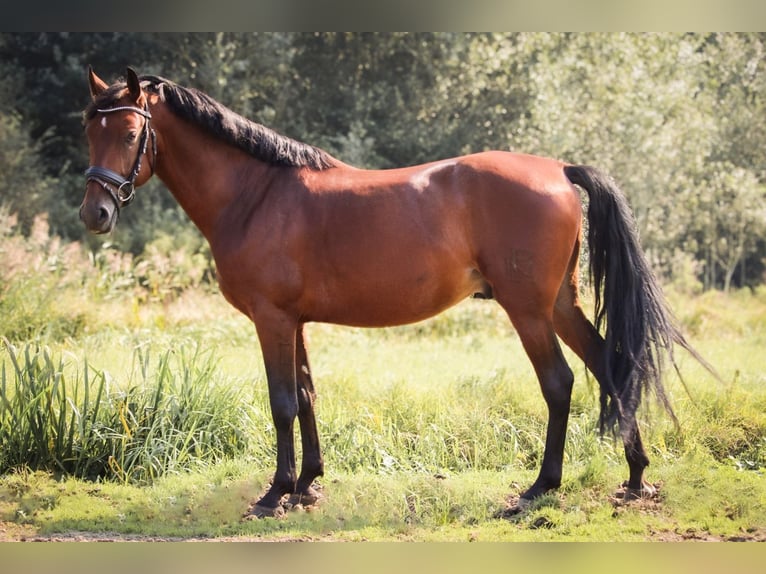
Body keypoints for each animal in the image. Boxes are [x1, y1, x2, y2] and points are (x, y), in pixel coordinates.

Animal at [81, 67, 712, 520]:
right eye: (89, 131)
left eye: (132, 134)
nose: (96, 213)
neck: (257, 194)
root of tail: (557, 169)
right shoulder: (296, 322)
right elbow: (306, 396)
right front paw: (307, 486)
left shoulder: (271, 319)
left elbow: (282, 402)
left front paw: (275, 493)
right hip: (560, 304)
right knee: (608, 365)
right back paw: (635, 477)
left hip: (528, 310)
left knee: (559, 383)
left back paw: (539, 487)